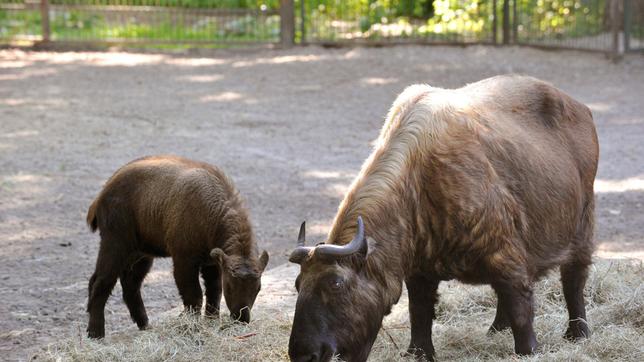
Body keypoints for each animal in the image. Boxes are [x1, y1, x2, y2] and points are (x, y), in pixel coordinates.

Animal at [85, 156, 270, 340]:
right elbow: (194, 294)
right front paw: (192, 326)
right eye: (230, 286)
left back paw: (145, 325)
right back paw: (96, 333)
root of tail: (103, 192)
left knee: (128, 284)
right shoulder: (184, 260)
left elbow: (214, 291)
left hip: (141, 254)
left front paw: (211, 320)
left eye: (258, 287)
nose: (242, 318)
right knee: (102, 282)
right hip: (115, 244)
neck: (210, 212)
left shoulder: (212, 263)